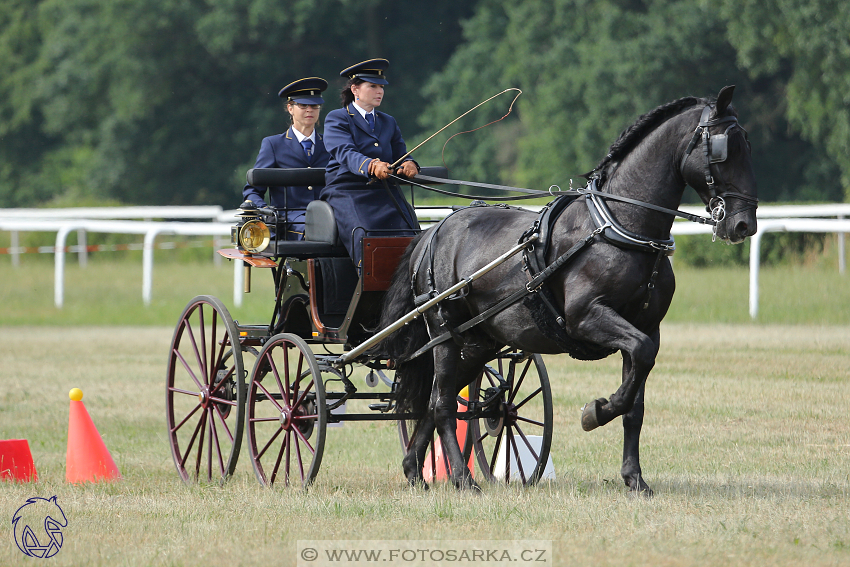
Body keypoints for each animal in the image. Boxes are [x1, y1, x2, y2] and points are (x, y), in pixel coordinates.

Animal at [378, 86, 756, 494]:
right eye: (723, 148)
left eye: (747, 144)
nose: (744, 224)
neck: (619, 226)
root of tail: (434, 230)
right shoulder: (586, 317)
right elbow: (637, 359)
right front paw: (596, 411)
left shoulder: (647, 327)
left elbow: (637, 396)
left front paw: (634, 477)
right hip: (446, 334)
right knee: (445, 402)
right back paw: (463, 478)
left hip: (479, 341)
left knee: (433, 400)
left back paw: (415, 470)